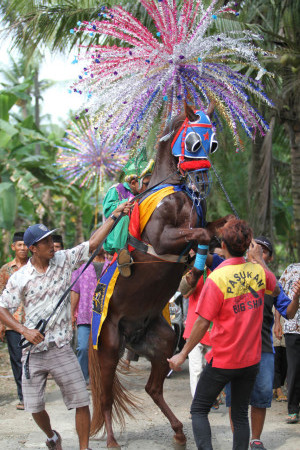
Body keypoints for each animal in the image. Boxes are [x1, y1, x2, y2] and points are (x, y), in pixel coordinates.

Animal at [89, 104, 230, 446]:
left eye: (214, 143)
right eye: (193, 142)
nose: (202, 182)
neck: (176, 191)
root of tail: (131, 335)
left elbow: (211, 230)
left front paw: (198, 269)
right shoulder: (162, 239)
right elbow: (200, 233)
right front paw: (192, 274)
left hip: (162, 340)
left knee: (153, 388)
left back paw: (179, 431)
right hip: (109, 345)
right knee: (105, 397)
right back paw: (112, 440)